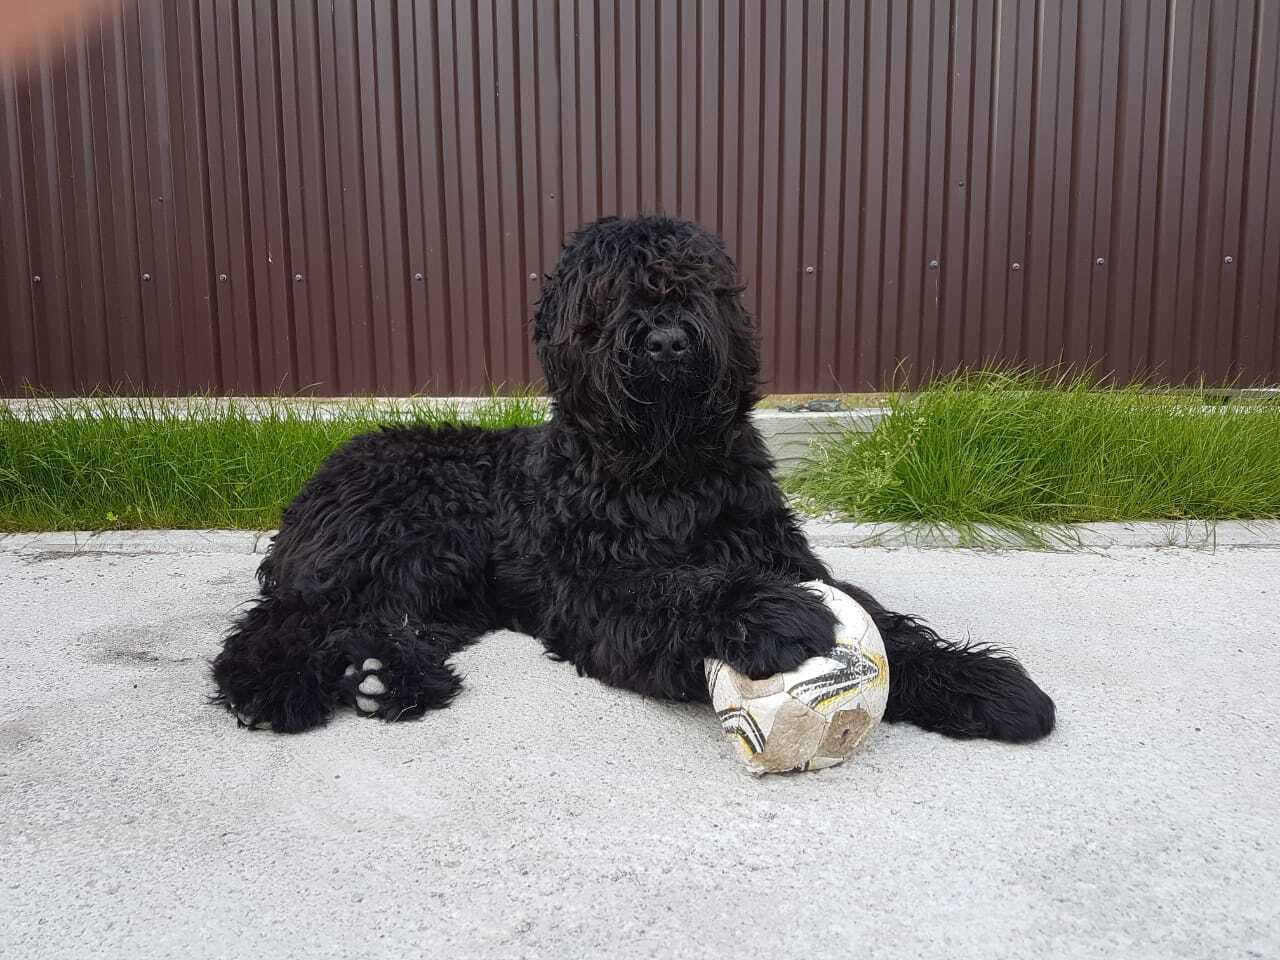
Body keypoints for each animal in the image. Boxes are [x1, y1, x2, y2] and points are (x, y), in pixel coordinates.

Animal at [212, 215, 1055, 743]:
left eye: (699, 286)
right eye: (609, 294)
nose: (668, 341)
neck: (664, 475)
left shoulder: (780, 551)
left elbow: (882, 622)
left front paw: (976, 683)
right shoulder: (596, 586)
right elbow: (675, 593)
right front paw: (763, 612)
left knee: (386, 622)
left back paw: (385, 676)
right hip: (408, 540)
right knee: (288, 618)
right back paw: (276, 686)